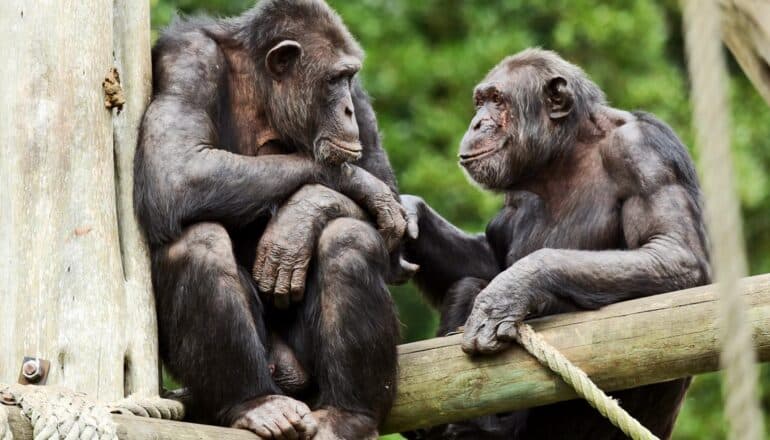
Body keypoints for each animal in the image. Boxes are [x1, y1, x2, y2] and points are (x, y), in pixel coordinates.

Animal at [134, 1, 414, 438]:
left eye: (349, 78)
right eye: (334, 79)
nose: (347, 108)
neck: (264, 88)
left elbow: (391, 212)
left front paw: (302, 216)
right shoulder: (187, 61)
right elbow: (176, 169)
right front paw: (356, 183)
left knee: (348, 240)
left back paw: (348, 415)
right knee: (199, 243)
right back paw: (256, 403)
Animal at [402, 49, 708, 438]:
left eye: (498, 100)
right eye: (480, 101)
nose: (477, 124)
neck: (563, 157)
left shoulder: (644, 153)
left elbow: (673, 250)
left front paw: (511, 290)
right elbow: (487, 260)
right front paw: (410, 214)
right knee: (467, 283)